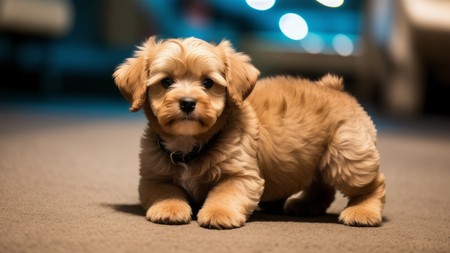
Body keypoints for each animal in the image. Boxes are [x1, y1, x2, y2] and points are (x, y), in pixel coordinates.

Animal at [113, 36, 386, 229]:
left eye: (208, 83)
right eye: (166, 82)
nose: (188, 103)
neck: (190, 145)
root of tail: (334, 88)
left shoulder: (242, 175)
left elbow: (224, 194)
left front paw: (218, 213)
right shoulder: (153, 177)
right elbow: (166, 191)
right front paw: (168, 208)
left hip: (346, 157)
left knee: (375, 184)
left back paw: (363, 211)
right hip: (321, 161)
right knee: (322, 187)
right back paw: (305, 204)